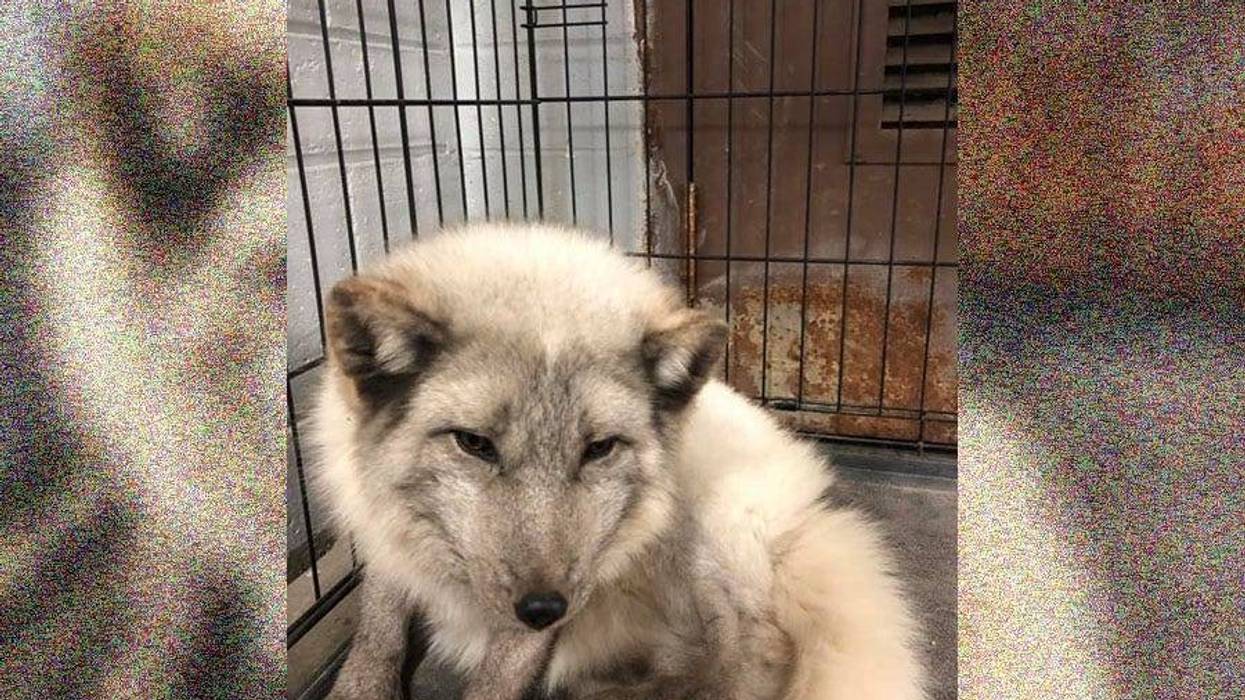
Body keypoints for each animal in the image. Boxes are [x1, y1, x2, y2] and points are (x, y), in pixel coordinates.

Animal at [312, 223, 925, 700]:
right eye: (474, 443)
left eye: (599, 448)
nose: (543, 608)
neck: (440, 557)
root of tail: (809, 502)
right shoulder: (379, 528)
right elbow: (376, 632)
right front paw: (360, 686)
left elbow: (498, 677)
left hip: (691, 526)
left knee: (754, 657)